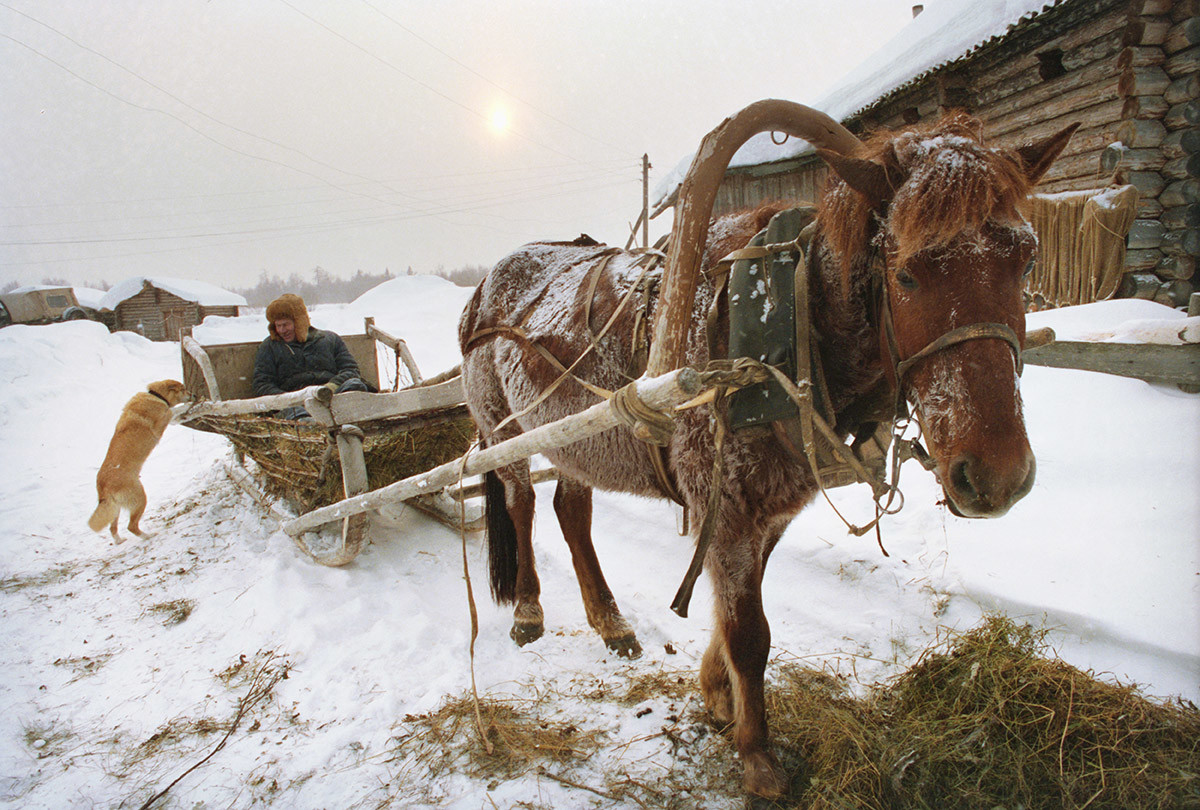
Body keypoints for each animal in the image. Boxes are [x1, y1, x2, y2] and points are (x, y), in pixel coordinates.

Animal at [88, 379, 189, 544]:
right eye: (183, 389)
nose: (193, 395)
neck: (156, 396)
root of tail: (103, 485)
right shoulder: (161, 422)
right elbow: (172, 411)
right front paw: (186, 406)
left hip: (115, 509)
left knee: (113, 528)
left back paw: (119, 541)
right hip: (140, 499)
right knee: (131, 526)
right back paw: (148, 536)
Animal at [458, 101, 1080, 796]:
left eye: (1026, 262)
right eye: (907, 273)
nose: (997, 476)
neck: (780, 328)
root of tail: (485, 285)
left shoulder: (769, 509)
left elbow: (736, 616)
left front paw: (716, 693)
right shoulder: (728, 510)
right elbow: (750, 634)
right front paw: (757, 756)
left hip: (583, 440)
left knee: (571, 510)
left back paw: (610, 620)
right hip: (504, 429)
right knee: (520, 502)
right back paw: (529, 611)